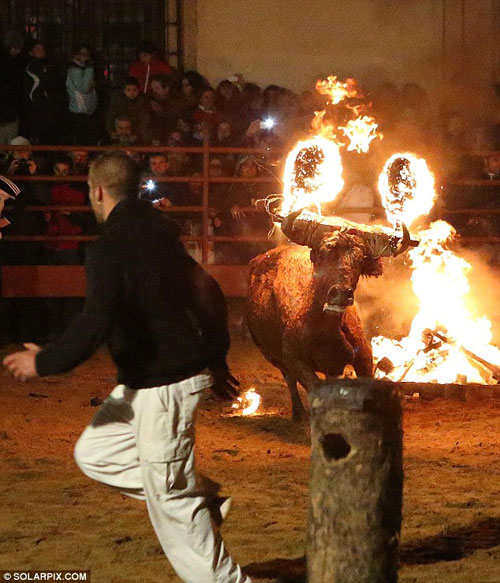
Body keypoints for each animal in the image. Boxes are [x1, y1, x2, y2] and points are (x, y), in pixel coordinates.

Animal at [246, 210, 414, 420]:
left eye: (359, 260)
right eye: (323, 253)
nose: (341, 293)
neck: (323, 329)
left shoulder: (363, 357)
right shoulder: (296, 362)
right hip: (273, 356)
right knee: (290, 380)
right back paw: (298, 413)